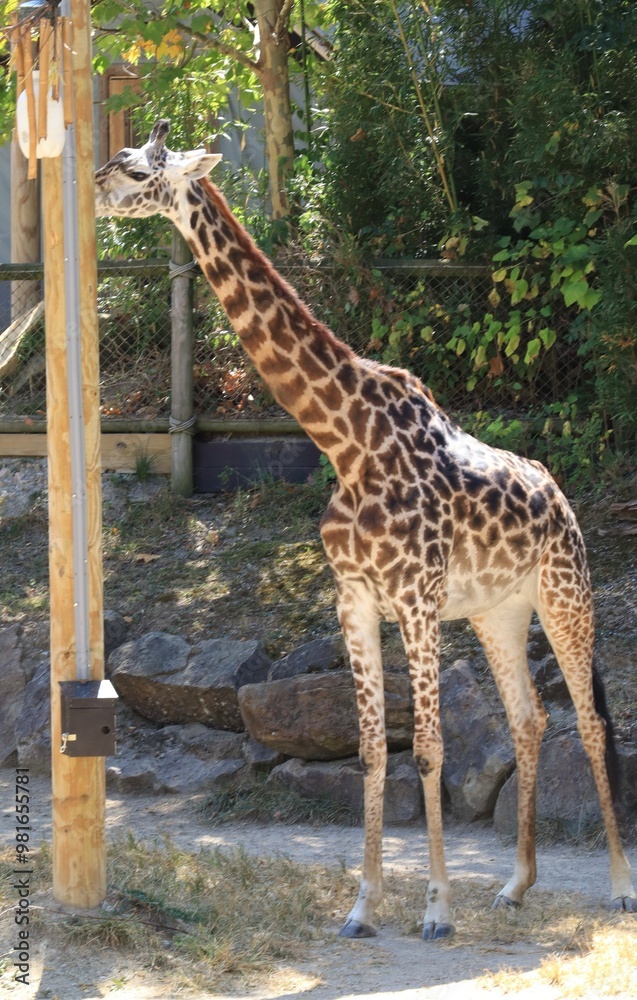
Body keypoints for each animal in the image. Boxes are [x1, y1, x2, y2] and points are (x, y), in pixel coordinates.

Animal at [95, 120, 636, 939]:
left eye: (136, 168)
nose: (93, 186)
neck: (345, 442)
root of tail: (561, 495)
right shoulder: (353, 598)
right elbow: (374, 749)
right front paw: (363, 905)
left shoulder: (414, 599)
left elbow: (432, 750)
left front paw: (436, 910)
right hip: (498, 613)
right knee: (531, 719)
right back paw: (515, 886)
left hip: (566, 595)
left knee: (595, 723)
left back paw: (617, 885)